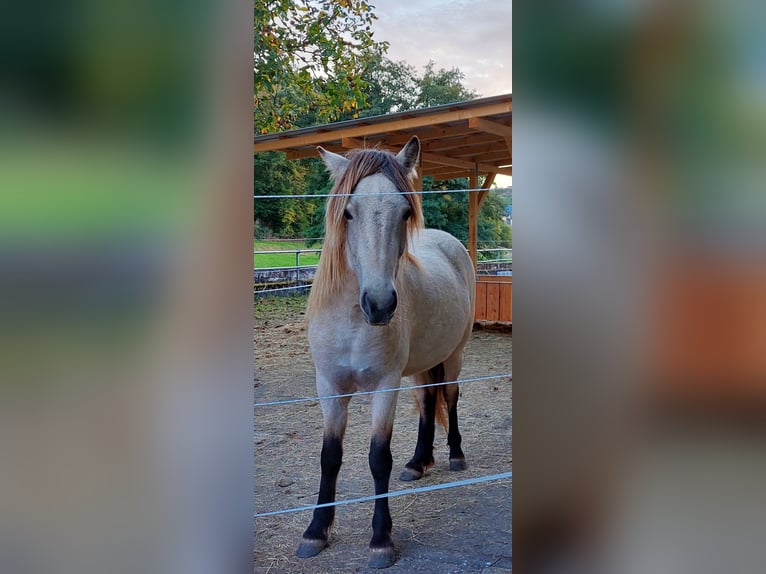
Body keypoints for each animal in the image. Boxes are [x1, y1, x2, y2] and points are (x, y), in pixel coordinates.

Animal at [296, 136, 476, 569]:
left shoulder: (385, 387)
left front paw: (381, 540)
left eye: (405, 211)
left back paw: (455, 455)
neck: (352, 321)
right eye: (348, 212)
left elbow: (379, 457)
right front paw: (316, 532)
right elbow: (330, 455)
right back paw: (418, 462)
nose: (379, 305)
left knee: (449, 396)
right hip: (423, 363)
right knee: (427, 401)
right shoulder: (329, 387)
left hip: (454, 355)